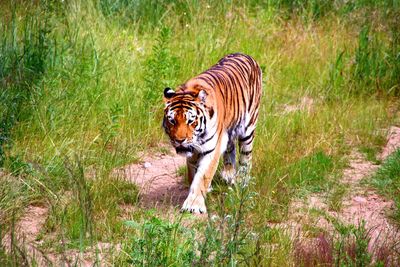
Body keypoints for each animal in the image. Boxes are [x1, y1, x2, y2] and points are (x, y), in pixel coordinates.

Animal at [162, 53, 262, 215]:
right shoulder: (193, 152)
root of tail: (245, 55)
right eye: (172, 120)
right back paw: (228, 174)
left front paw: (194, 205)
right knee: (230, 148)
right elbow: (193, 174)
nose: (179, 140)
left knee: (246, 156)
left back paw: (242, 181)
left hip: (248, 128)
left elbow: (202, 176)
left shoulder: (211, 149)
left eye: (190, 120)